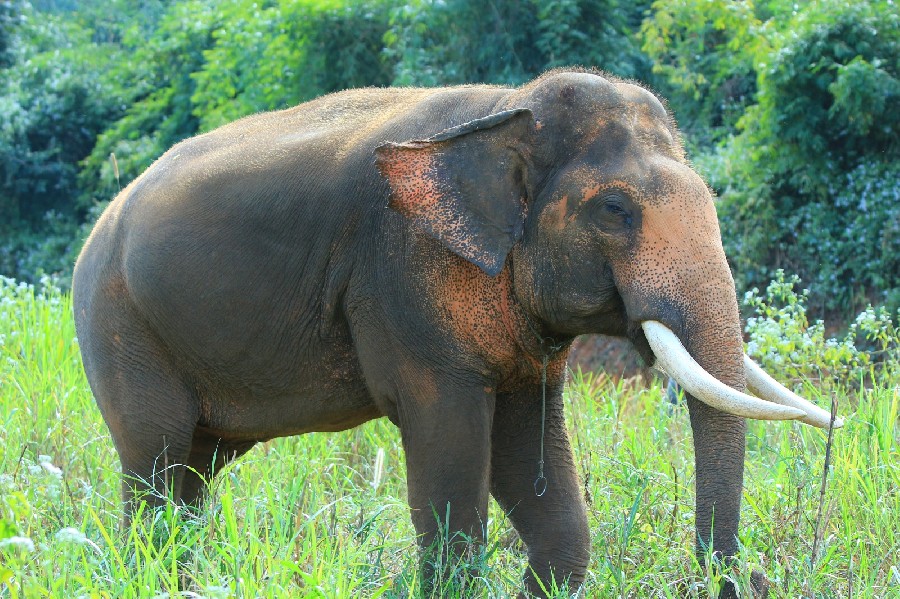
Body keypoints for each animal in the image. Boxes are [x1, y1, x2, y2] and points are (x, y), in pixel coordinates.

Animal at [74, 69, 840, 596]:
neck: (509, 108)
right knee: (155, 462)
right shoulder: (403, 280)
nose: (741, 579)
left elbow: (534, 471)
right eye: (615, 210)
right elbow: (451, 467)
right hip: (118, 325)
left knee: (192, 475)